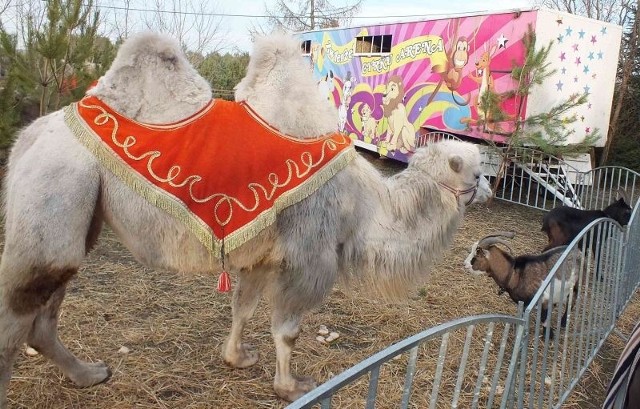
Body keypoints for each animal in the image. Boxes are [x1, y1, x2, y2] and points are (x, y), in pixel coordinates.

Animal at [0, 31, 492, 404]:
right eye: (475, 170)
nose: (489, 188)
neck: (366, 204)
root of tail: (28, 137)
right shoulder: (310, 254)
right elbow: (288, 330)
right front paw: (291, 386)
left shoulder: (262, 254)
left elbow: (243, 306)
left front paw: (236, 358)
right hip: (57, 186)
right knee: (19, 313)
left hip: (78, 214)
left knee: (43, 314)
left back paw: (89, 374)